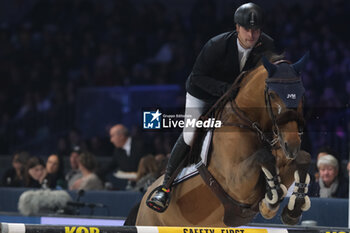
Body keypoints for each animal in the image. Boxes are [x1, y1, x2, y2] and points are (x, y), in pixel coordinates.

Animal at [135, 54, 310, 226]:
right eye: (273, 95)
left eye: (302, 93)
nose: (292, 145)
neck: (249, 123)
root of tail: (141, 204)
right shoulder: (236, 184)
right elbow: (264, 156)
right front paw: (272, 199)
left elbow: (303, 157)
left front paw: (292, 209)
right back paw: (159, 197)